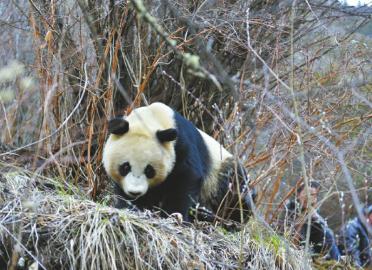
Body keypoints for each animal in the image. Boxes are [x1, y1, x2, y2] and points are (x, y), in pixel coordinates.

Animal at [103, 102, 258, 223]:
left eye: (149, 170)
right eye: (125, 167)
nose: (135, 192)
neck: (151, 118)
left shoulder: (181, 144)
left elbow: (187, 177)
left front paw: (174, 215)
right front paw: (130, 206)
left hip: (221, 173)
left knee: (236, 191)